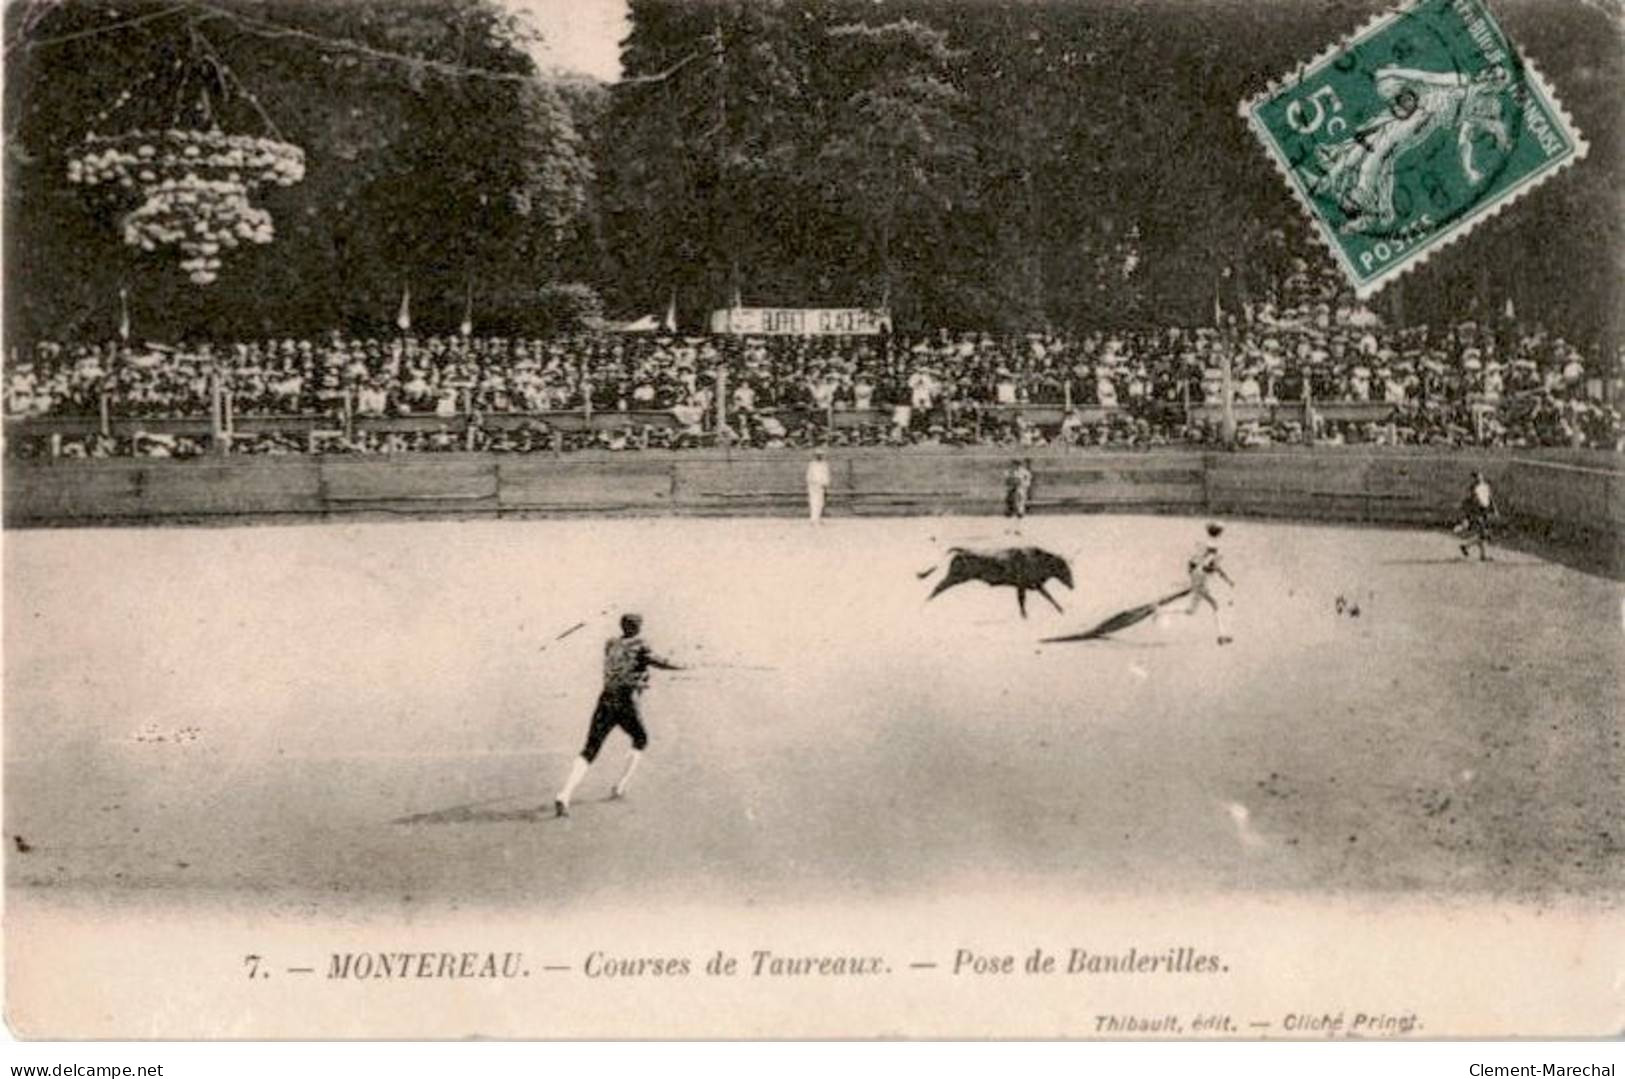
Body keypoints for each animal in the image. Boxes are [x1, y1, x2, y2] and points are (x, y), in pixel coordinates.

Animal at [923, 549, 1072, 614]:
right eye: (1065, 569)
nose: (1072, 586)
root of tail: (961, 552)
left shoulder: (1034, 584)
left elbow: (1048, 596)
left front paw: (1061, 610)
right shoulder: (1023, 584)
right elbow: (1023, 599)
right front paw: (1024, 615)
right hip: (956, 577)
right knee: (939, 586)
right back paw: (927, 603)